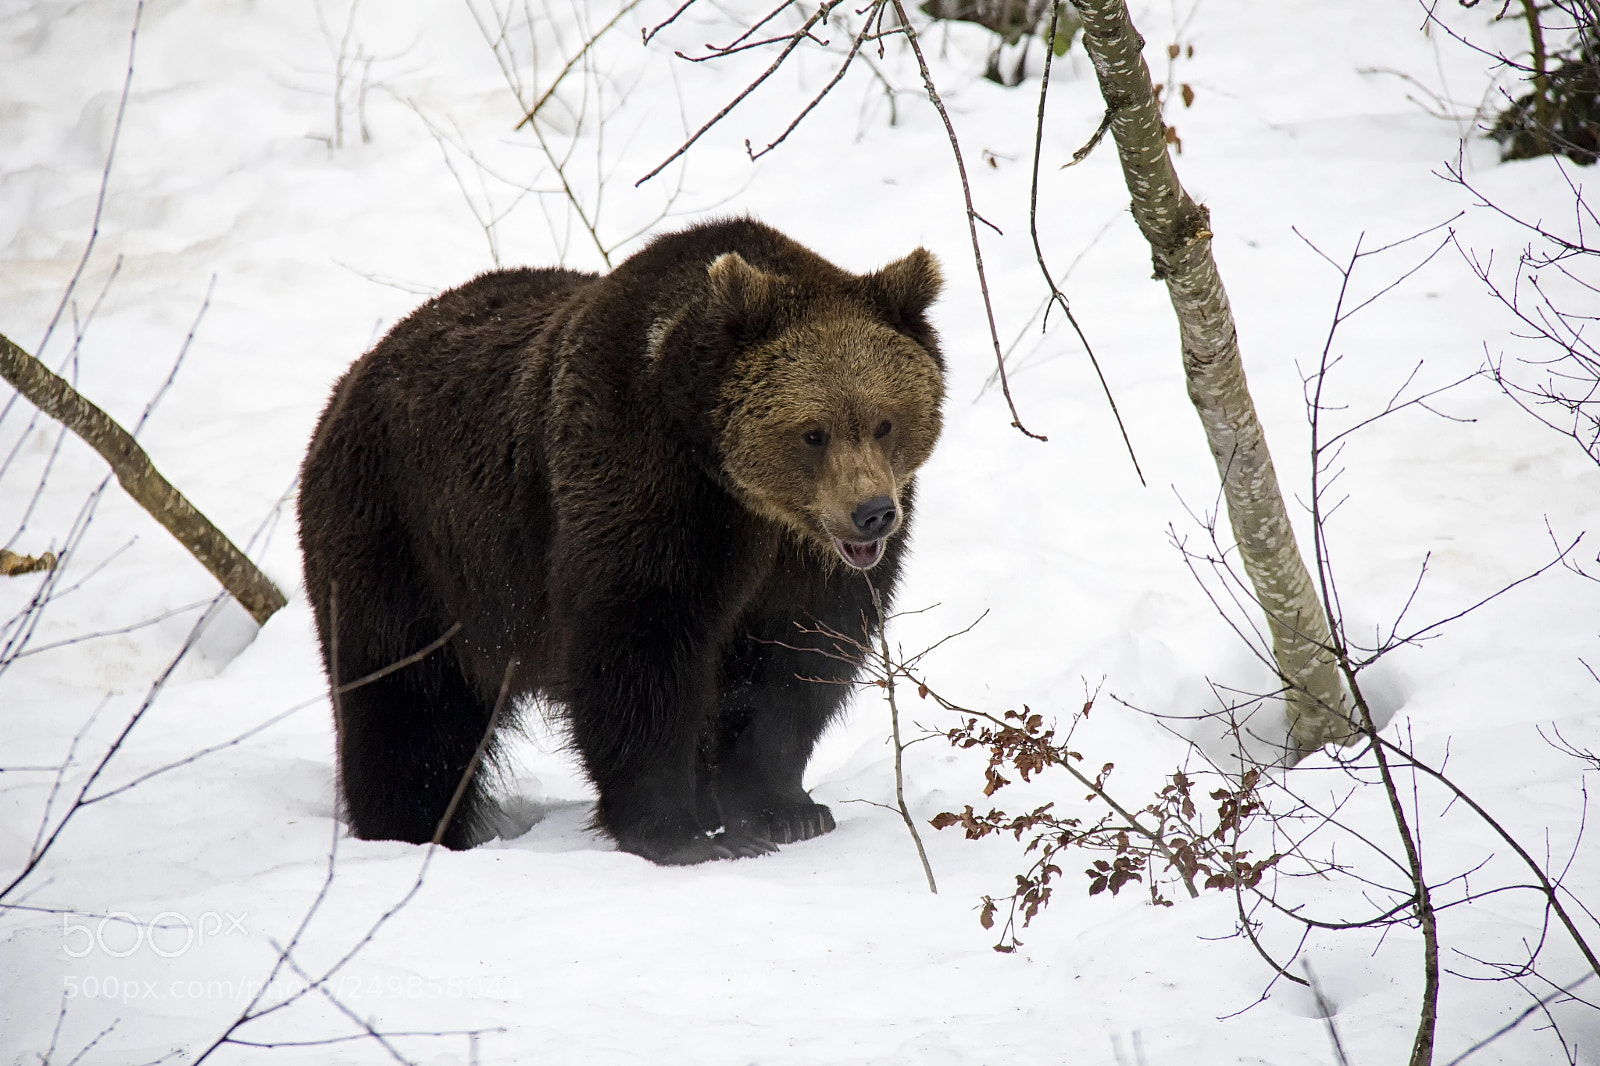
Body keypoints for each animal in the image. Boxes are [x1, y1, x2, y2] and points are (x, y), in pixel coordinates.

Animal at [297, 217, 945, 864]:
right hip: (408, 539)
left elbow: (798, 663)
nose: (872, 514)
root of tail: (351, 379)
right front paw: (676, 831)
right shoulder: (646, 486)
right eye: (814, 432)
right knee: (407, 704)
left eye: (885, 422)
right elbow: (638, 649)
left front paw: (784, 810)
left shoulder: (806, 563)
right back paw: (411, 828)